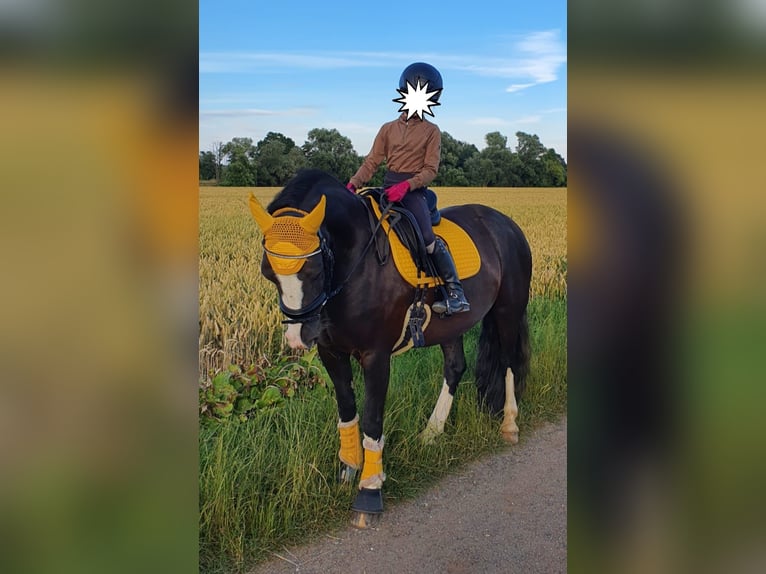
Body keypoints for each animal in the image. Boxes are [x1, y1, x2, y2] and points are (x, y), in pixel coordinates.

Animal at [249, 169, 532, 528]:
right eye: (268, 271)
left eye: (313, 268)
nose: (299, 336)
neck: (356, 261)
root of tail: (505, 223)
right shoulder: (331, 353)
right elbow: (347, 411)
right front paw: (348, 469)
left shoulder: (376, 356)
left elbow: (372, 419)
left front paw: (369, 490)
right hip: (453, 325)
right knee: (455, 368)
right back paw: (431, 432)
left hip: (508, 310)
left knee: (508, 363)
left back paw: (509, 424)